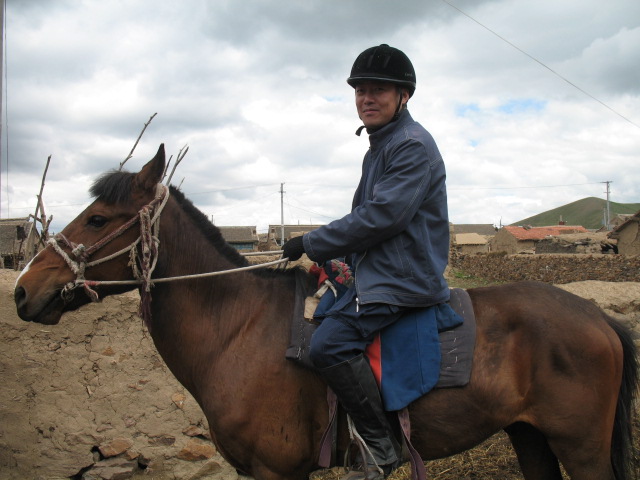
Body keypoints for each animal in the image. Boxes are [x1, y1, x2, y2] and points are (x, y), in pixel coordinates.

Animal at [12, 146, 636, 480]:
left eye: (98, 218)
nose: (22, 290)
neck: (237, 329)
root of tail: (598, 318)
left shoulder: (277, 471)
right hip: (531, 438)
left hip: (581, 447)